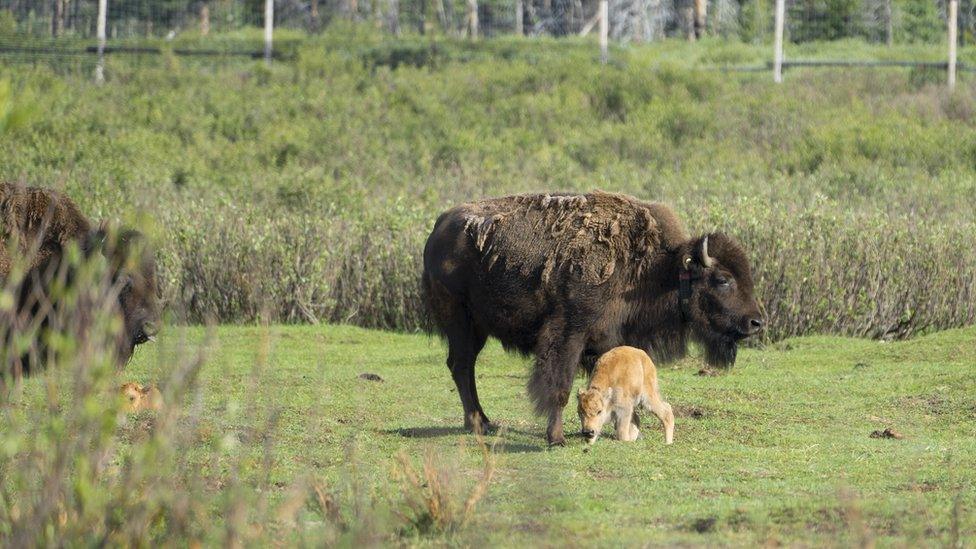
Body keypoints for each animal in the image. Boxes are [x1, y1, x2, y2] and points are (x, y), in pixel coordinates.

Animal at [424, 191, 768, 444]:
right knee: (462, 366)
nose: (756, 322)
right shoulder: (568, 335)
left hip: (477, 328)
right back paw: (478, 424)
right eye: (723, 279)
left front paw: (628, 428)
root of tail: (438, 227)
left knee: (463, 367)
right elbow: (560, 386)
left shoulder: (611, 341)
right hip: (460, 322)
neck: (655, 270)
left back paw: (484, 422)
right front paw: (557, 438)